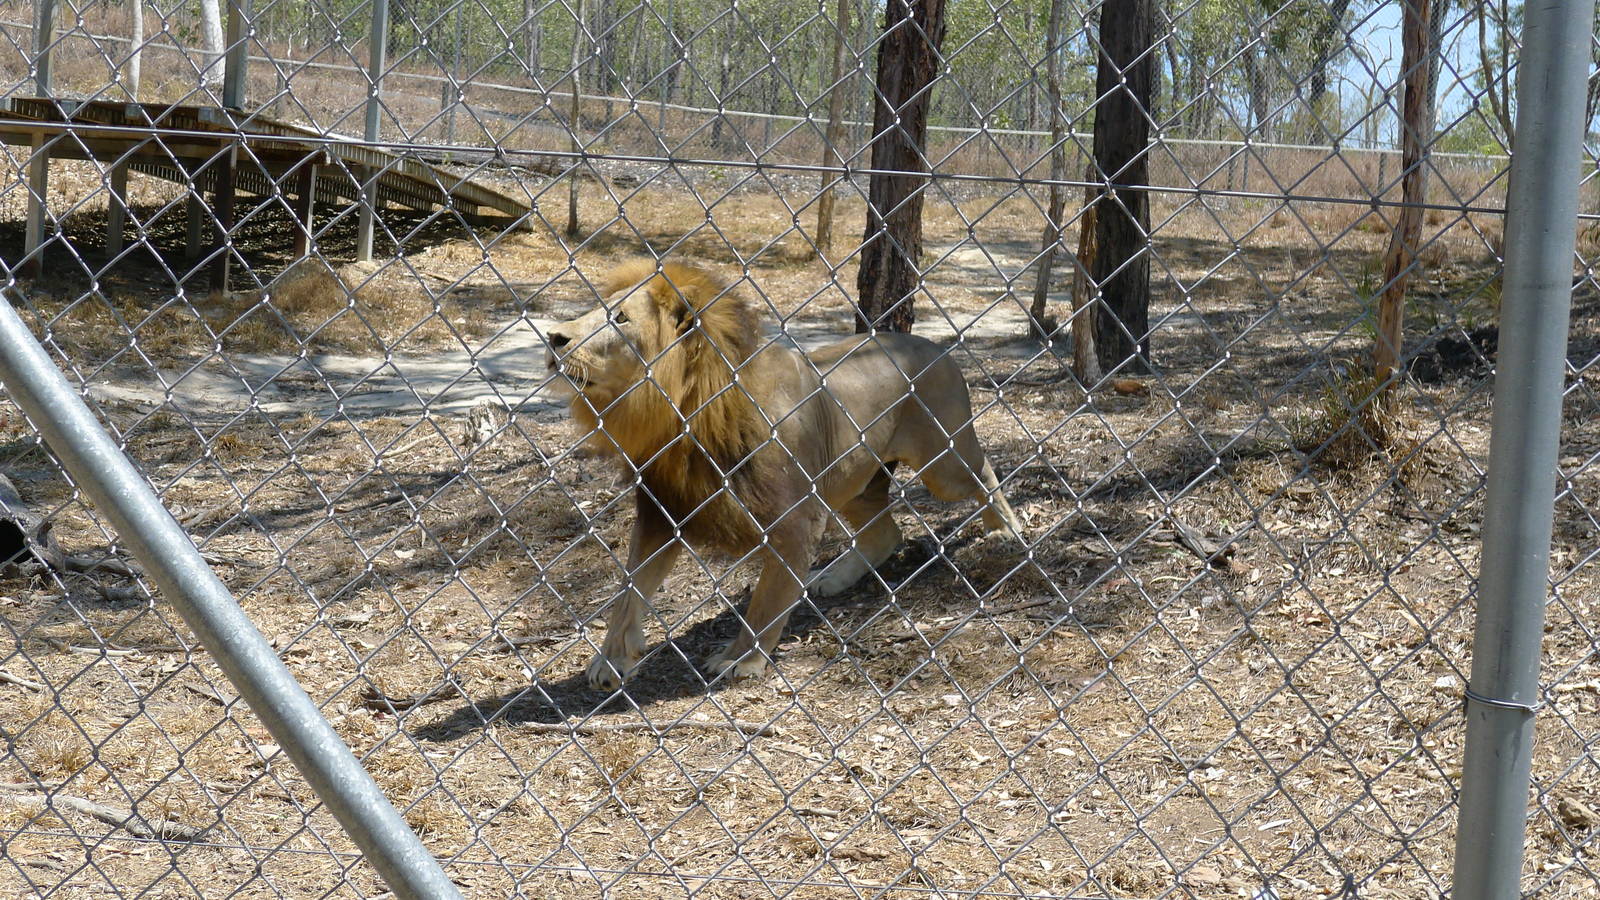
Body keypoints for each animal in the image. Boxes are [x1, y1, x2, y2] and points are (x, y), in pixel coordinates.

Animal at [544, 259, 1024, 689]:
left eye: (620, 318)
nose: (553, 337)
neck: (684, 417)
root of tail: (937, 346)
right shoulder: (664, 512)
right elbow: (629, 589)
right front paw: (611, 659)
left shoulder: (797, 520)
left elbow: (767, 601)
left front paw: (742, 660)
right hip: (853, 479)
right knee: (887, 533)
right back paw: (832, 578)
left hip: (940, 464)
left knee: (982, 473)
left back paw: (1006, 529)